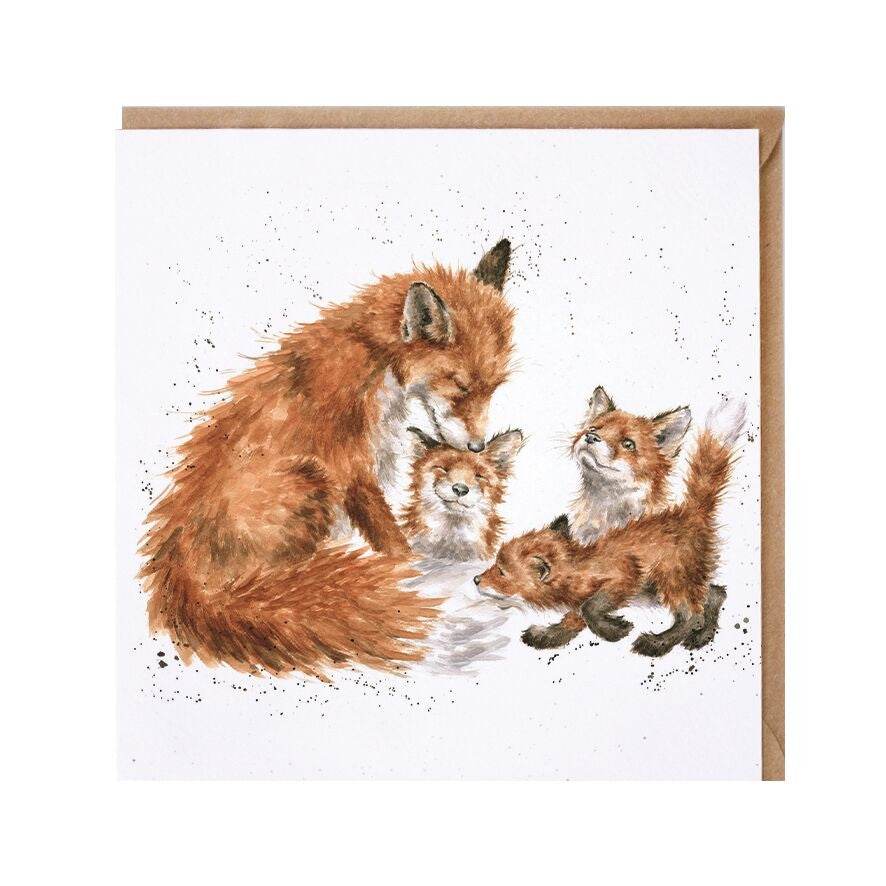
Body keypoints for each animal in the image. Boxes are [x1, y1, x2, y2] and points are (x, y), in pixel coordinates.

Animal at [473, 398, 746, 658]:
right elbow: (576, 614)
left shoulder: (625, 573)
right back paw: (702, 635)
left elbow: (589, 608)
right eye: (594, 429)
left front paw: (615, 630)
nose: (476, 579)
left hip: (670, 577)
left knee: (692, 613)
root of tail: (690, 510)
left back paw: (660, 642)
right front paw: (552, 635)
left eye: (501, 572)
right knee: (714, 594)